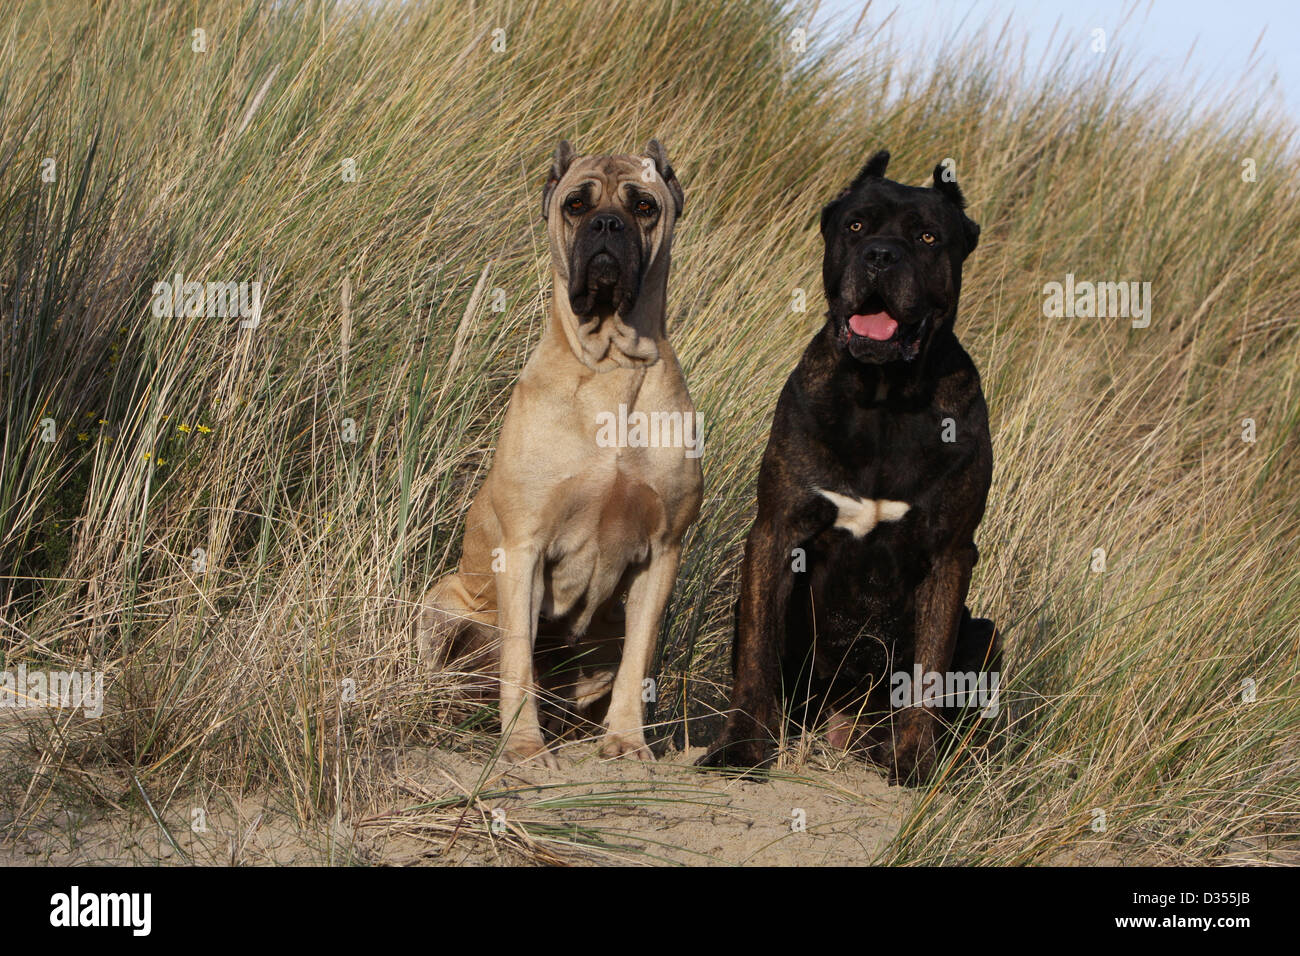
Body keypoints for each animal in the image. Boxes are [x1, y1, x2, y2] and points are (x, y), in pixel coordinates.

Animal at [707, 153, 998, 785]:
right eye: (856, 226)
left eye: (927, 237)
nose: (881, 256)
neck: (883, 399)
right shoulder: (777, 531)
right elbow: (758, 655)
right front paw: (741, 749)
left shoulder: (951, 553)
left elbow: (930, 670)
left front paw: (913, 761)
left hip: (985, 634)